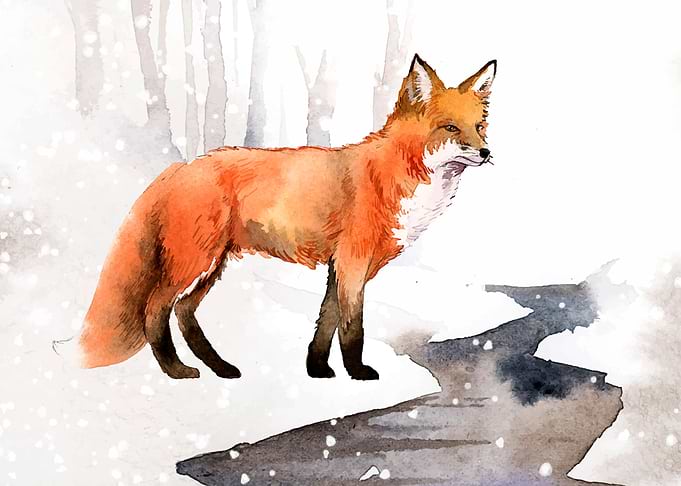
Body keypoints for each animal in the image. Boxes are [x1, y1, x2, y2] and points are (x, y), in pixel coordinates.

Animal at [68, 54, 496, 380]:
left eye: (479, 127)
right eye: (450, 128)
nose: (487, 152)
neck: (395, 173)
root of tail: (181, 166)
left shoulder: (339, 267)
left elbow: (326, 321)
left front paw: (318, 370)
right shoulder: (353, 262)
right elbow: (352, 328)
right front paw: (358, 373)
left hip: (211, 266)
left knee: (184, 312)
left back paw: (221, 368)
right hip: (194, 262)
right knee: (155, 311)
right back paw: (176, 371)